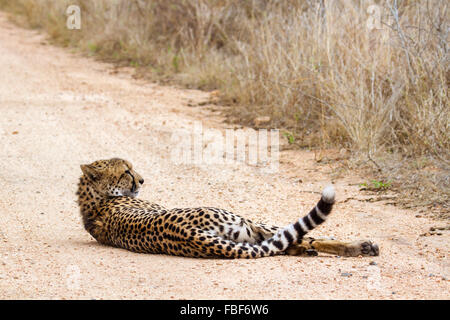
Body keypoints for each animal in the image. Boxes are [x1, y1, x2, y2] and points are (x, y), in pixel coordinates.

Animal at [75, 159, 378, 258]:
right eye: (126, 171)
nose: (141, 180)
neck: (95, 201)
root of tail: (191, 235)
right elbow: (298, 234)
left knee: (289, 242)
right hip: (244, 223)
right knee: (301, 237)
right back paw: (360, 246)